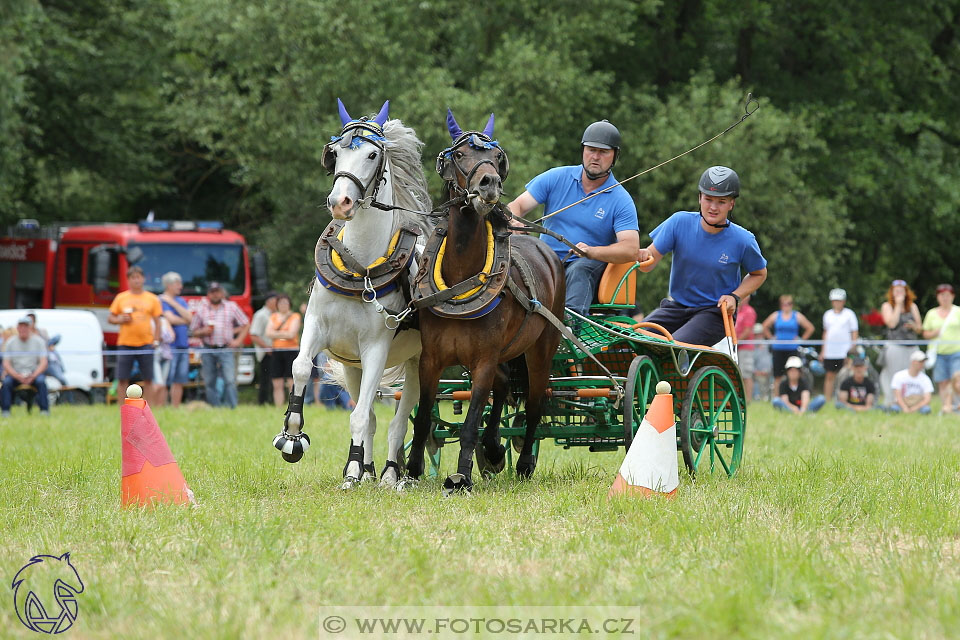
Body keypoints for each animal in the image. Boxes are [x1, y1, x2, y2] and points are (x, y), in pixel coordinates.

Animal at [274, 100, 432, 490]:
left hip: (417, 364)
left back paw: (390, 473)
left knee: (398, 420)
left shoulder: (376, 348)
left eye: (373, 154)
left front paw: (353, 475)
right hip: (352, 366)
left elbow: (360, 417)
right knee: (375, 417)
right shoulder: (317, 329)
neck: (360, 269)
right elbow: (301, 368)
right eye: (336, 153)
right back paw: (367, 469)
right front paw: (292, 438)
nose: (341, 202)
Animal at [404, 110, 568, 492]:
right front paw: (412, 470)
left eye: (496, 157)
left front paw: (461, 477)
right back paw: (493, 449)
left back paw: (523, 464)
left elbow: (469, 424)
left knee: (534, 404)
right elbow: (423, 419)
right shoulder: (431, 360)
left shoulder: (482, 361)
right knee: (505, 385)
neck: (459, 277)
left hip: (540, 350)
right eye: (460, 155)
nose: (488, 183)